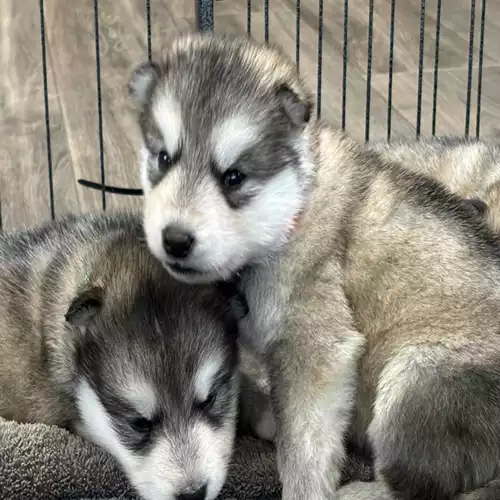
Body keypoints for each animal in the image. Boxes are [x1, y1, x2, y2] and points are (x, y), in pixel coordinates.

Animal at [127, 33, 500, 498]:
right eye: (163, 158)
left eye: (234, 177)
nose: (175, 239)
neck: (292, 209)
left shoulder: (318, 344)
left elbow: (305, 444)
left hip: (418, 378)